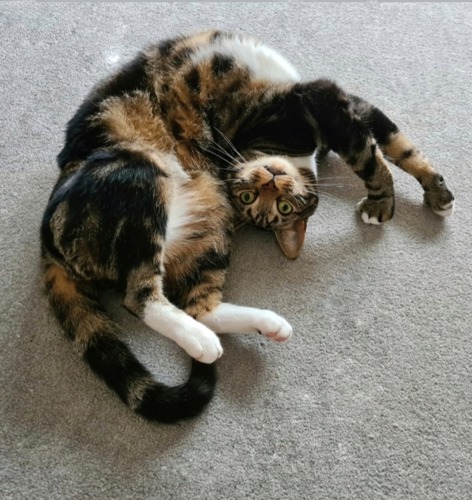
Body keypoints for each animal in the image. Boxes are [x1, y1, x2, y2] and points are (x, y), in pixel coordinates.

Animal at [40, 29, 454, 424]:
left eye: (283, 206)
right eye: (249, 197)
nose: (270, 180)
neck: (295, 154)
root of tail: (47, 241)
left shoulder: (347, 105)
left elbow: (398, 144)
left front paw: (437, 193)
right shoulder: (321, 102)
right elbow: (371, 158)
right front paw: (382, 203)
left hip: (210, 224)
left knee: (200, 306)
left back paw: (263, 326)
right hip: (142, 175)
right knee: (138, 296)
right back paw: (202, 340)